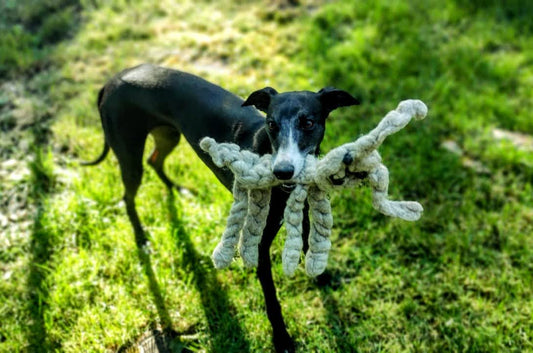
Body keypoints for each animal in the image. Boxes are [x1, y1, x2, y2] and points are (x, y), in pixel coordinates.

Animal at [82, 64, 358, 352]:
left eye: (308, 123)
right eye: (271, 124)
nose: (283, 171)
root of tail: (113, 80)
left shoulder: (302, 214)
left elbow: (307, 246)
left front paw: (321, 278)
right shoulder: (257, 245)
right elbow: (272, 301)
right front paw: (282, 339)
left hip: (168, 135)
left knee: (154, 160)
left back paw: (177, 189)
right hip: (129, 152)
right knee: (128, 195)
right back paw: (142, 238)